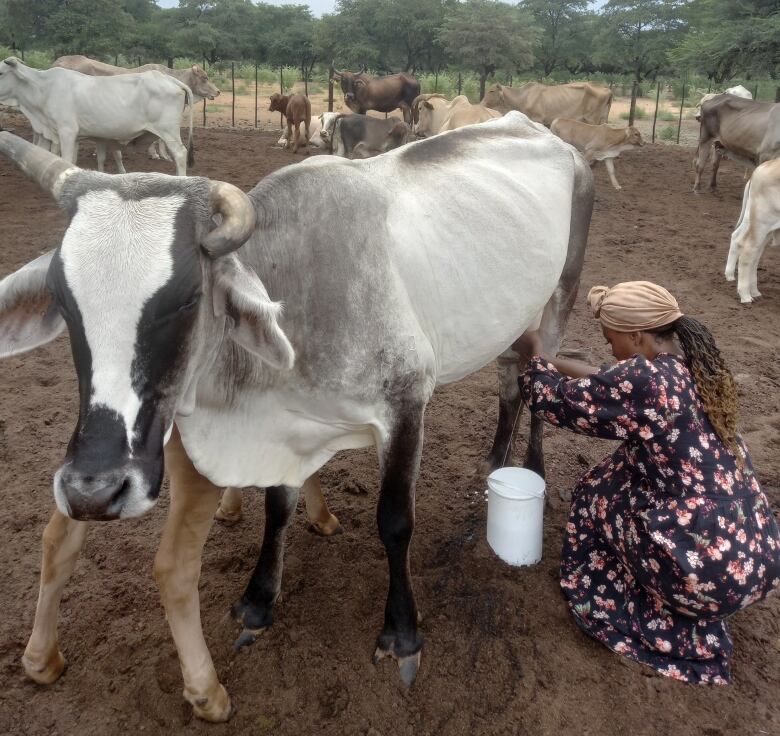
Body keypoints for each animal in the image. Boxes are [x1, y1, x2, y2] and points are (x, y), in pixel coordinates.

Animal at [0, 57, 194, 175]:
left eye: (1, 72)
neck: (43, 88)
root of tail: (170, 79)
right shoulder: (70, 136)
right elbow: (73, 160)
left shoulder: (67, 131)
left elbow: (66, 159)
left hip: (168, 131)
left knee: (180, 153)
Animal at [482, 82, 616, 126]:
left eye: (491, 90)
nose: (482, 103)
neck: (523, 97)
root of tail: (607, 89)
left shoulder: (538, 119)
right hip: (603, 118)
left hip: (592, 119)